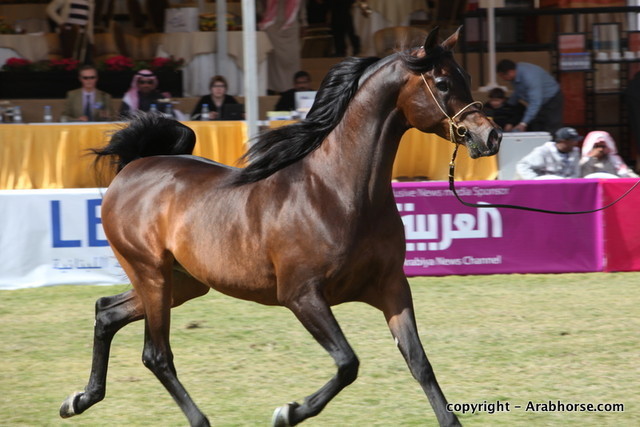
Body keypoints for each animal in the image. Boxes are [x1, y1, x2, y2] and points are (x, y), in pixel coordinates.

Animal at [60, 27, 501, 427]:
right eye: (443, 82)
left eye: (466, 75)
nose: (491, 135)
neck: (336, 192)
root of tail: (134, 168)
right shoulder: (302, 295)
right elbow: (348, 362)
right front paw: (287, 412)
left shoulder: (391, 287)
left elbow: (418, 362)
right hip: (152, 275)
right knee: (156, 354)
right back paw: (194, 419)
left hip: (183, 283)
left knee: (106, 311)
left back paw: (80, 399)